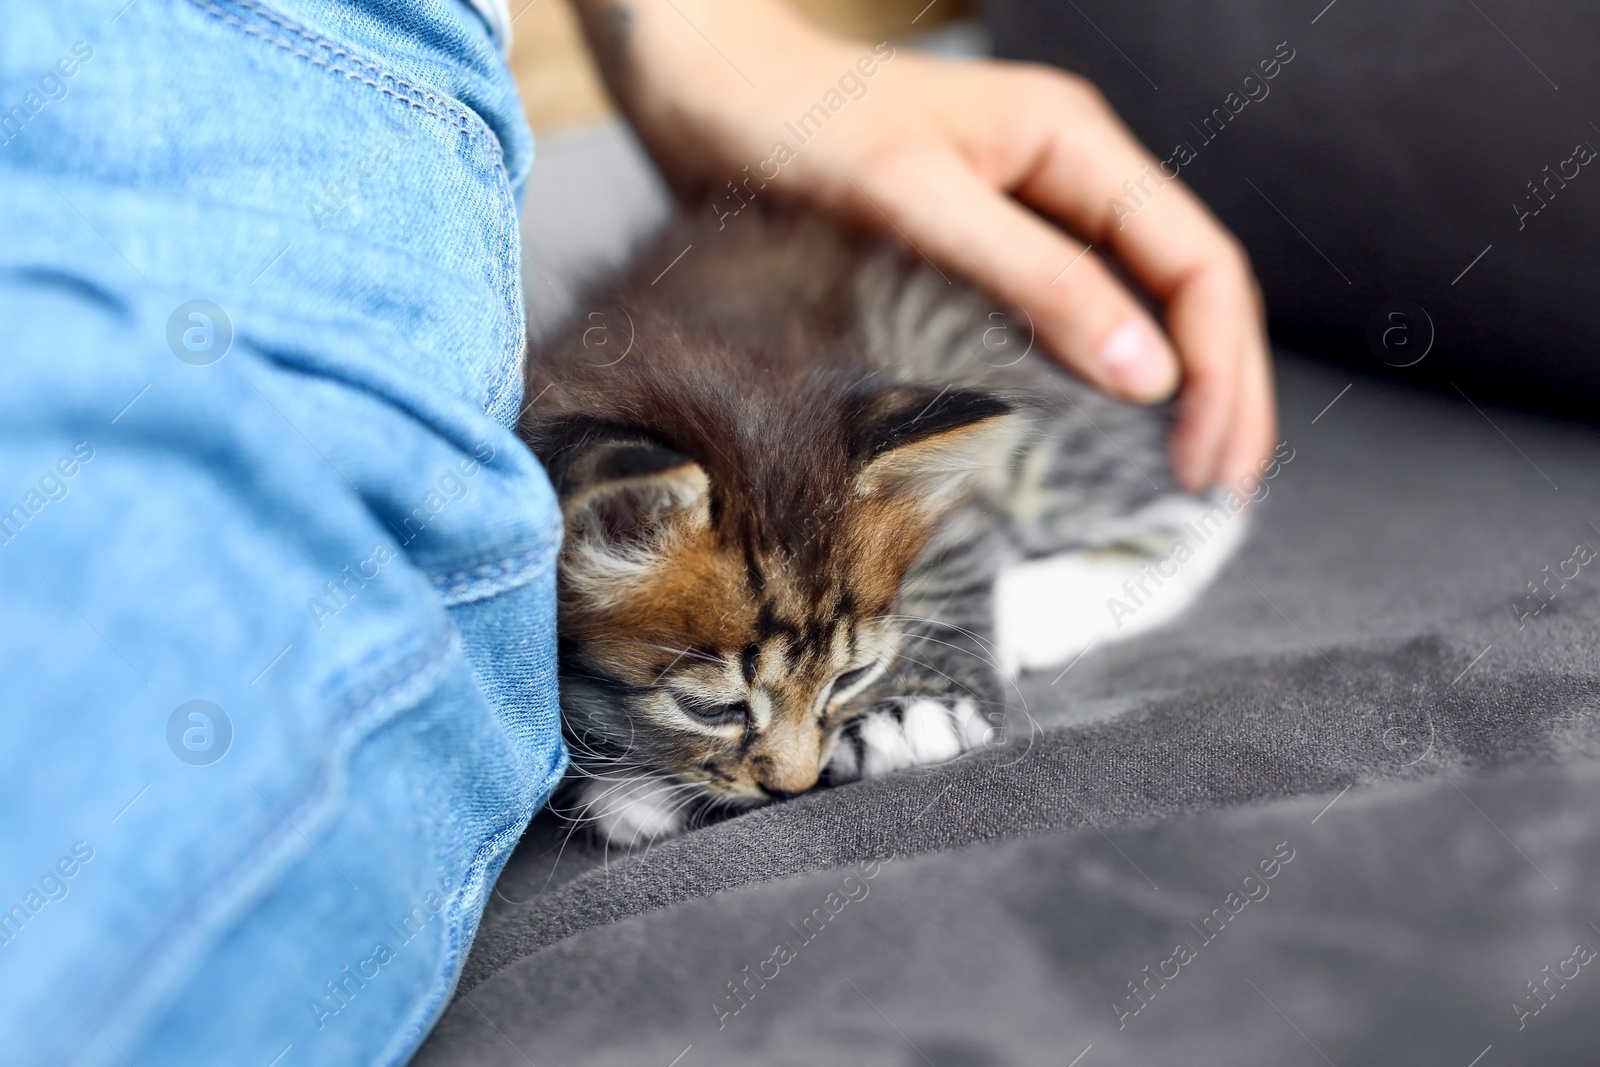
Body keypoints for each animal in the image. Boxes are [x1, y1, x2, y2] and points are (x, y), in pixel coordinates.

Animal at [518, 206, 1241, 844]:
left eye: (851, 679)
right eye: (711, 709)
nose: (793, 785)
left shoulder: (944, 491)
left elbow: (955, 561)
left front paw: (917, 708)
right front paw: (628, 784)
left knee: (1198, 512)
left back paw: (1033, 611)